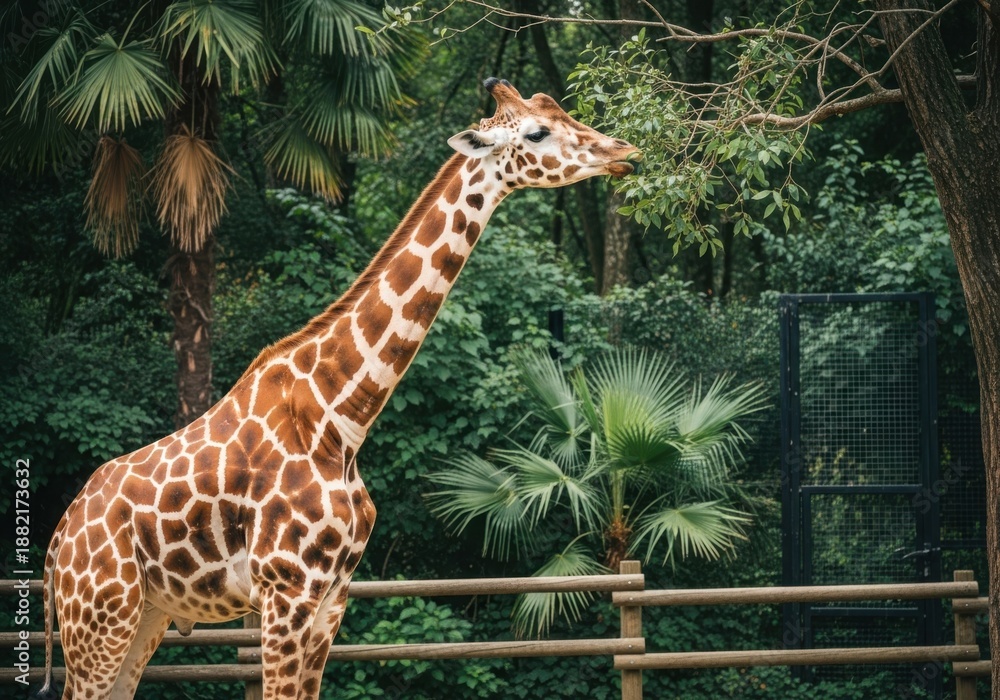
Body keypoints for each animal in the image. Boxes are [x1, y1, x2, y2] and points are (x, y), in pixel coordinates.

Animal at [40, 77, 641, 699]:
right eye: (537, 131)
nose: (626, 152)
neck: (341, 418)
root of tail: (57, 544)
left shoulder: (333, 595)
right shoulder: (286, 590)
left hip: (146, 617)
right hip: (99, 621)